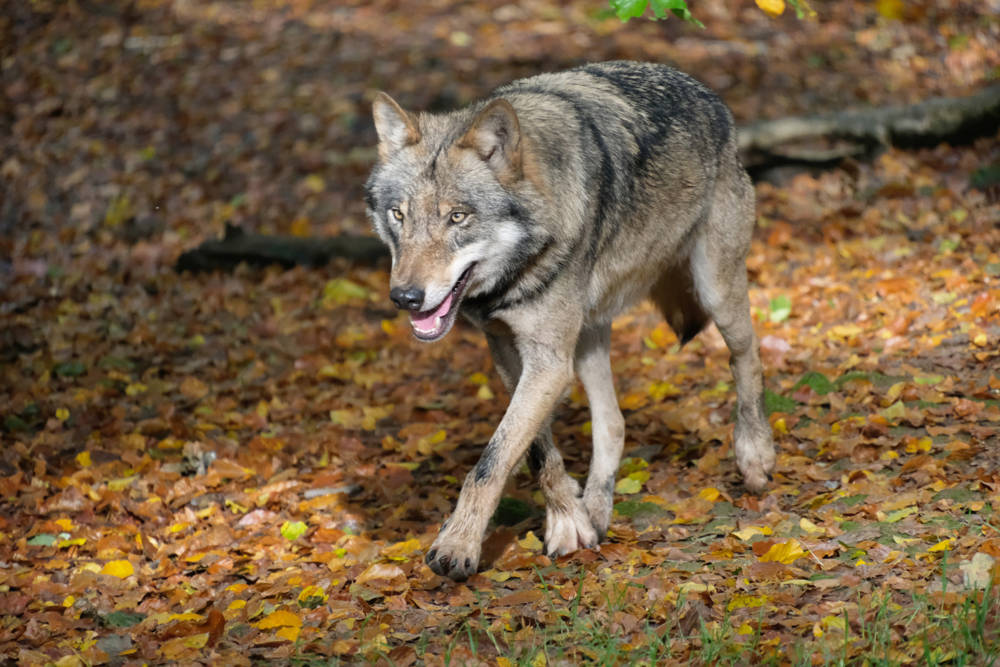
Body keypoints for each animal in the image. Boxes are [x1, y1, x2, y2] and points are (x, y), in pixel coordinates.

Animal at [364, 60, 776, 580]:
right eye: (398, 215)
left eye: (457, 217)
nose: (405, 297)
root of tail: (703, 89)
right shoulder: (511, 353)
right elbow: (535, 452)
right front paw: (569, 522)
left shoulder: (548, 362)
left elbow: (490, 461)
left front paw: (457, 546)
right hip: (588, 339)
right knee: (614, 424)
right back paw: (597, 511)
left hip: (715, 292)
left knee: (748, 357)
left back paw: (755, 456)